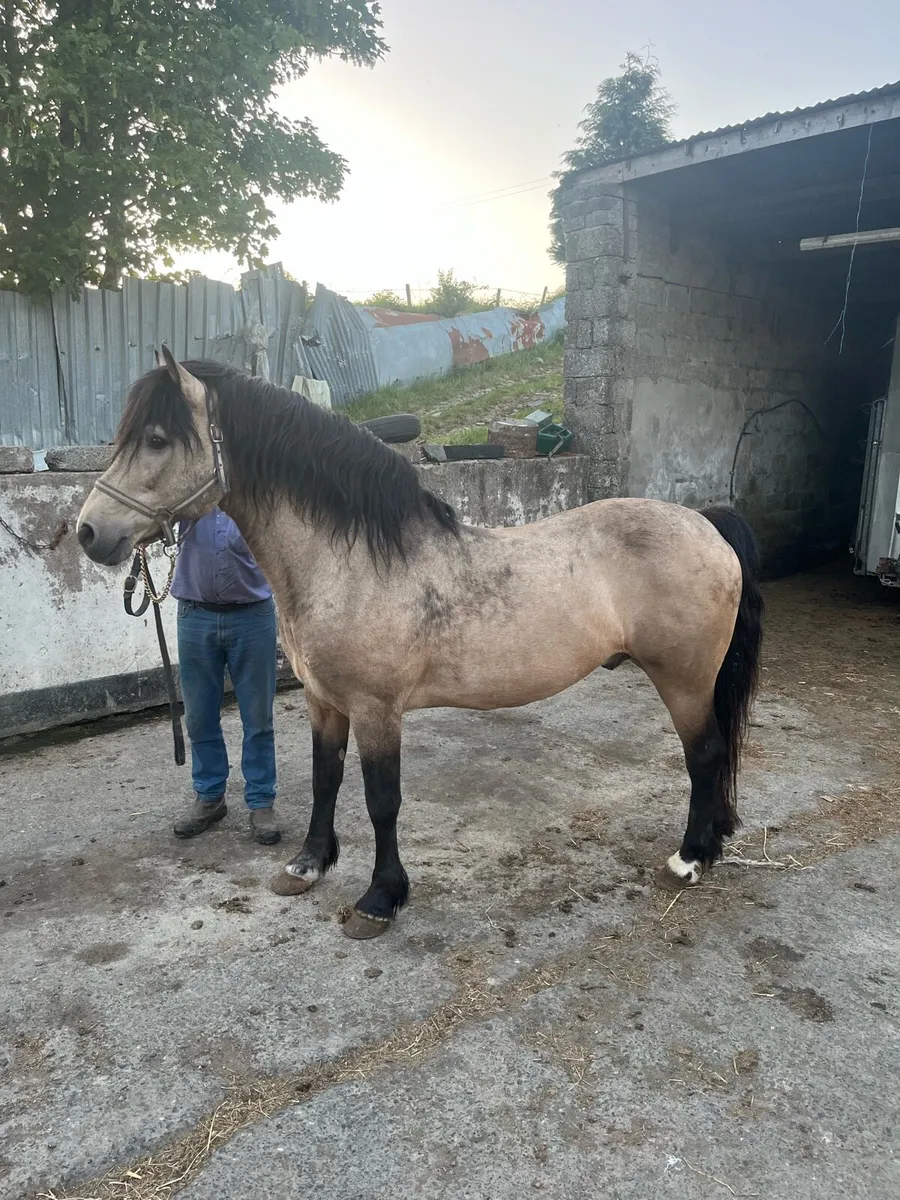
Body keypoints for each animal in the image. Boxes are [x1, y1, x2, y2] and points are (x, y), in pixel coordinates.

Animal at [76, 347, 764, 940]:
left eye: (157, 439)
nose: (88, 532)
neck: (351, 562)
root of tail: (707, 525)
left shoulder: (377, 710)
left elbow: (382, 800)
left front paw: (380, 898)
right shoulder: (326, 703)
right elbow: (326, 780)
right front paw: (309, 864)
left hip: (683, 681)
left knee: (704, 755)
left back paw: (689, 859)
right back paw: (715, 841)